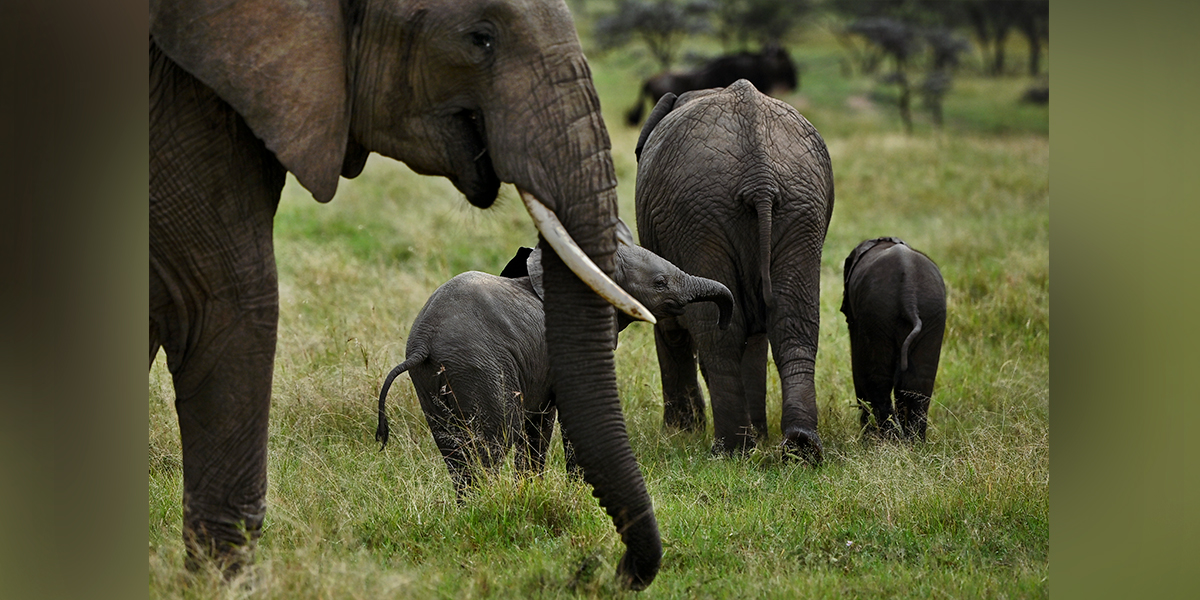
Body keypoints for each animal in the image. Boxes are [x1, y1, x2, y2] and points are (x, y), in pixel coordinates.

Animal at [374, 235, 729, 496]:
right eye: (660, 283)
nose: (724, 323)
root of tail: (424, 342)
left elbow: (539, 421)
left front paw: (533, 489)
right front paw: (575, 492)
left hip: (431, 379)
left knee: (453, 446)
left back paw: (469, 506)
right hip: (479, 368)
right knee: (493, 442)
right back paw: (489, 503)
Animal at [638, 81, 835, 463]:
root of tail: (760, 172)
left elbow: (672, 326)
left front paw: (681, 432)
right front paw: (758, 434)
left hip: (696, 216)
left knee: (719, 332)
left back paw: (730, 450)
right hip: (799, 208)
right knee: (793, 322)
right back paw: (799, 448)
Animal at [844, 237, 945, 441]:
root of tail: (909, 293)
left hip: (877, 313)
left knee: (878, 380)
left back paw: (889, 441)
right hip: (929, 312)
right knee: (920, 381)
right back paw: (912, 443)